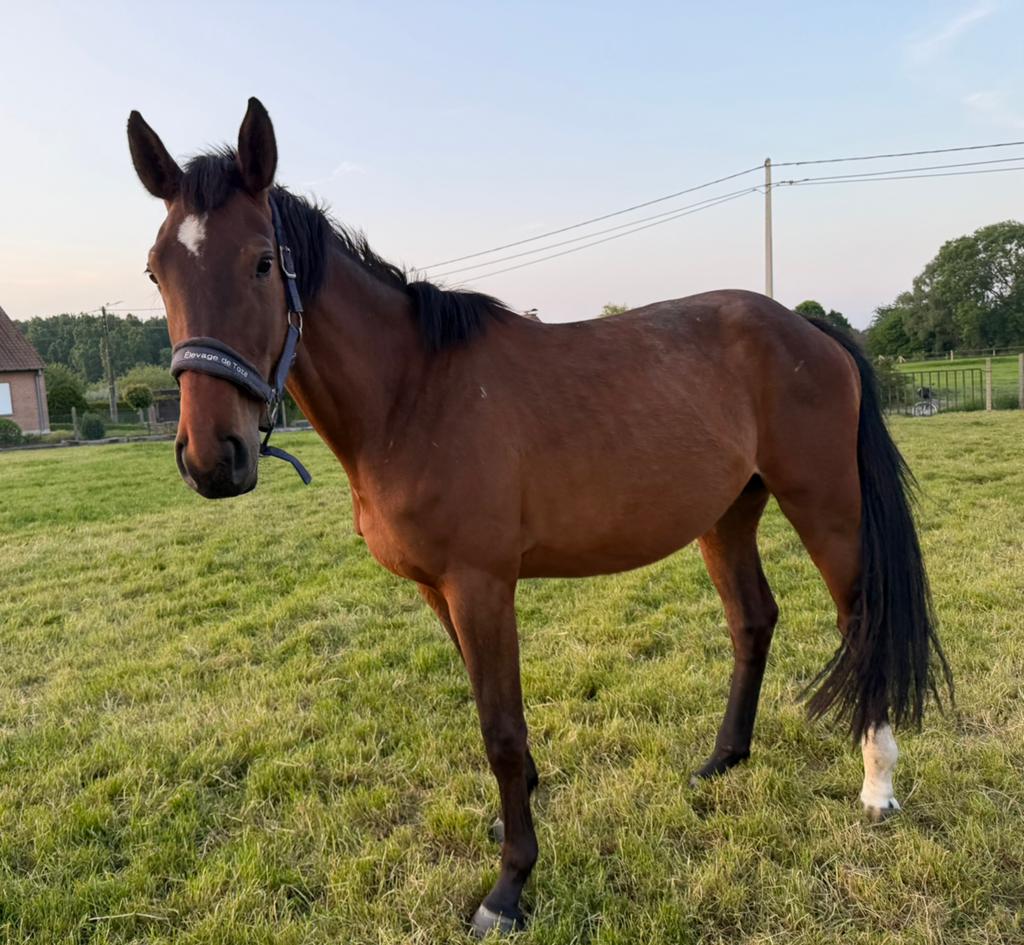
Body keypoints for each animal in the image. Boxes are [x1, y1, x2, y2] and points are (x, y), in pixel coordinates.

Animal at [127, 98, 951, 938]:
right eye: (158, 271)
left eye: (263, 261)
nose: (212, 457)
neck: (411, 393)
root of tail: (811, 329)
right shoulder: (438, 589)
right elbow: (491, 715)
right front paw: (517, 809)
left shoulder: (481, 583)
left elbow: (500, 728)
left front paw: (510, 883)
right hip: (726, 516)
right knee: (752, 621)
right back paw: (723, 759)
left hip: (825, 504)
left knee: (862, 618)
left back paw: (877, 786)